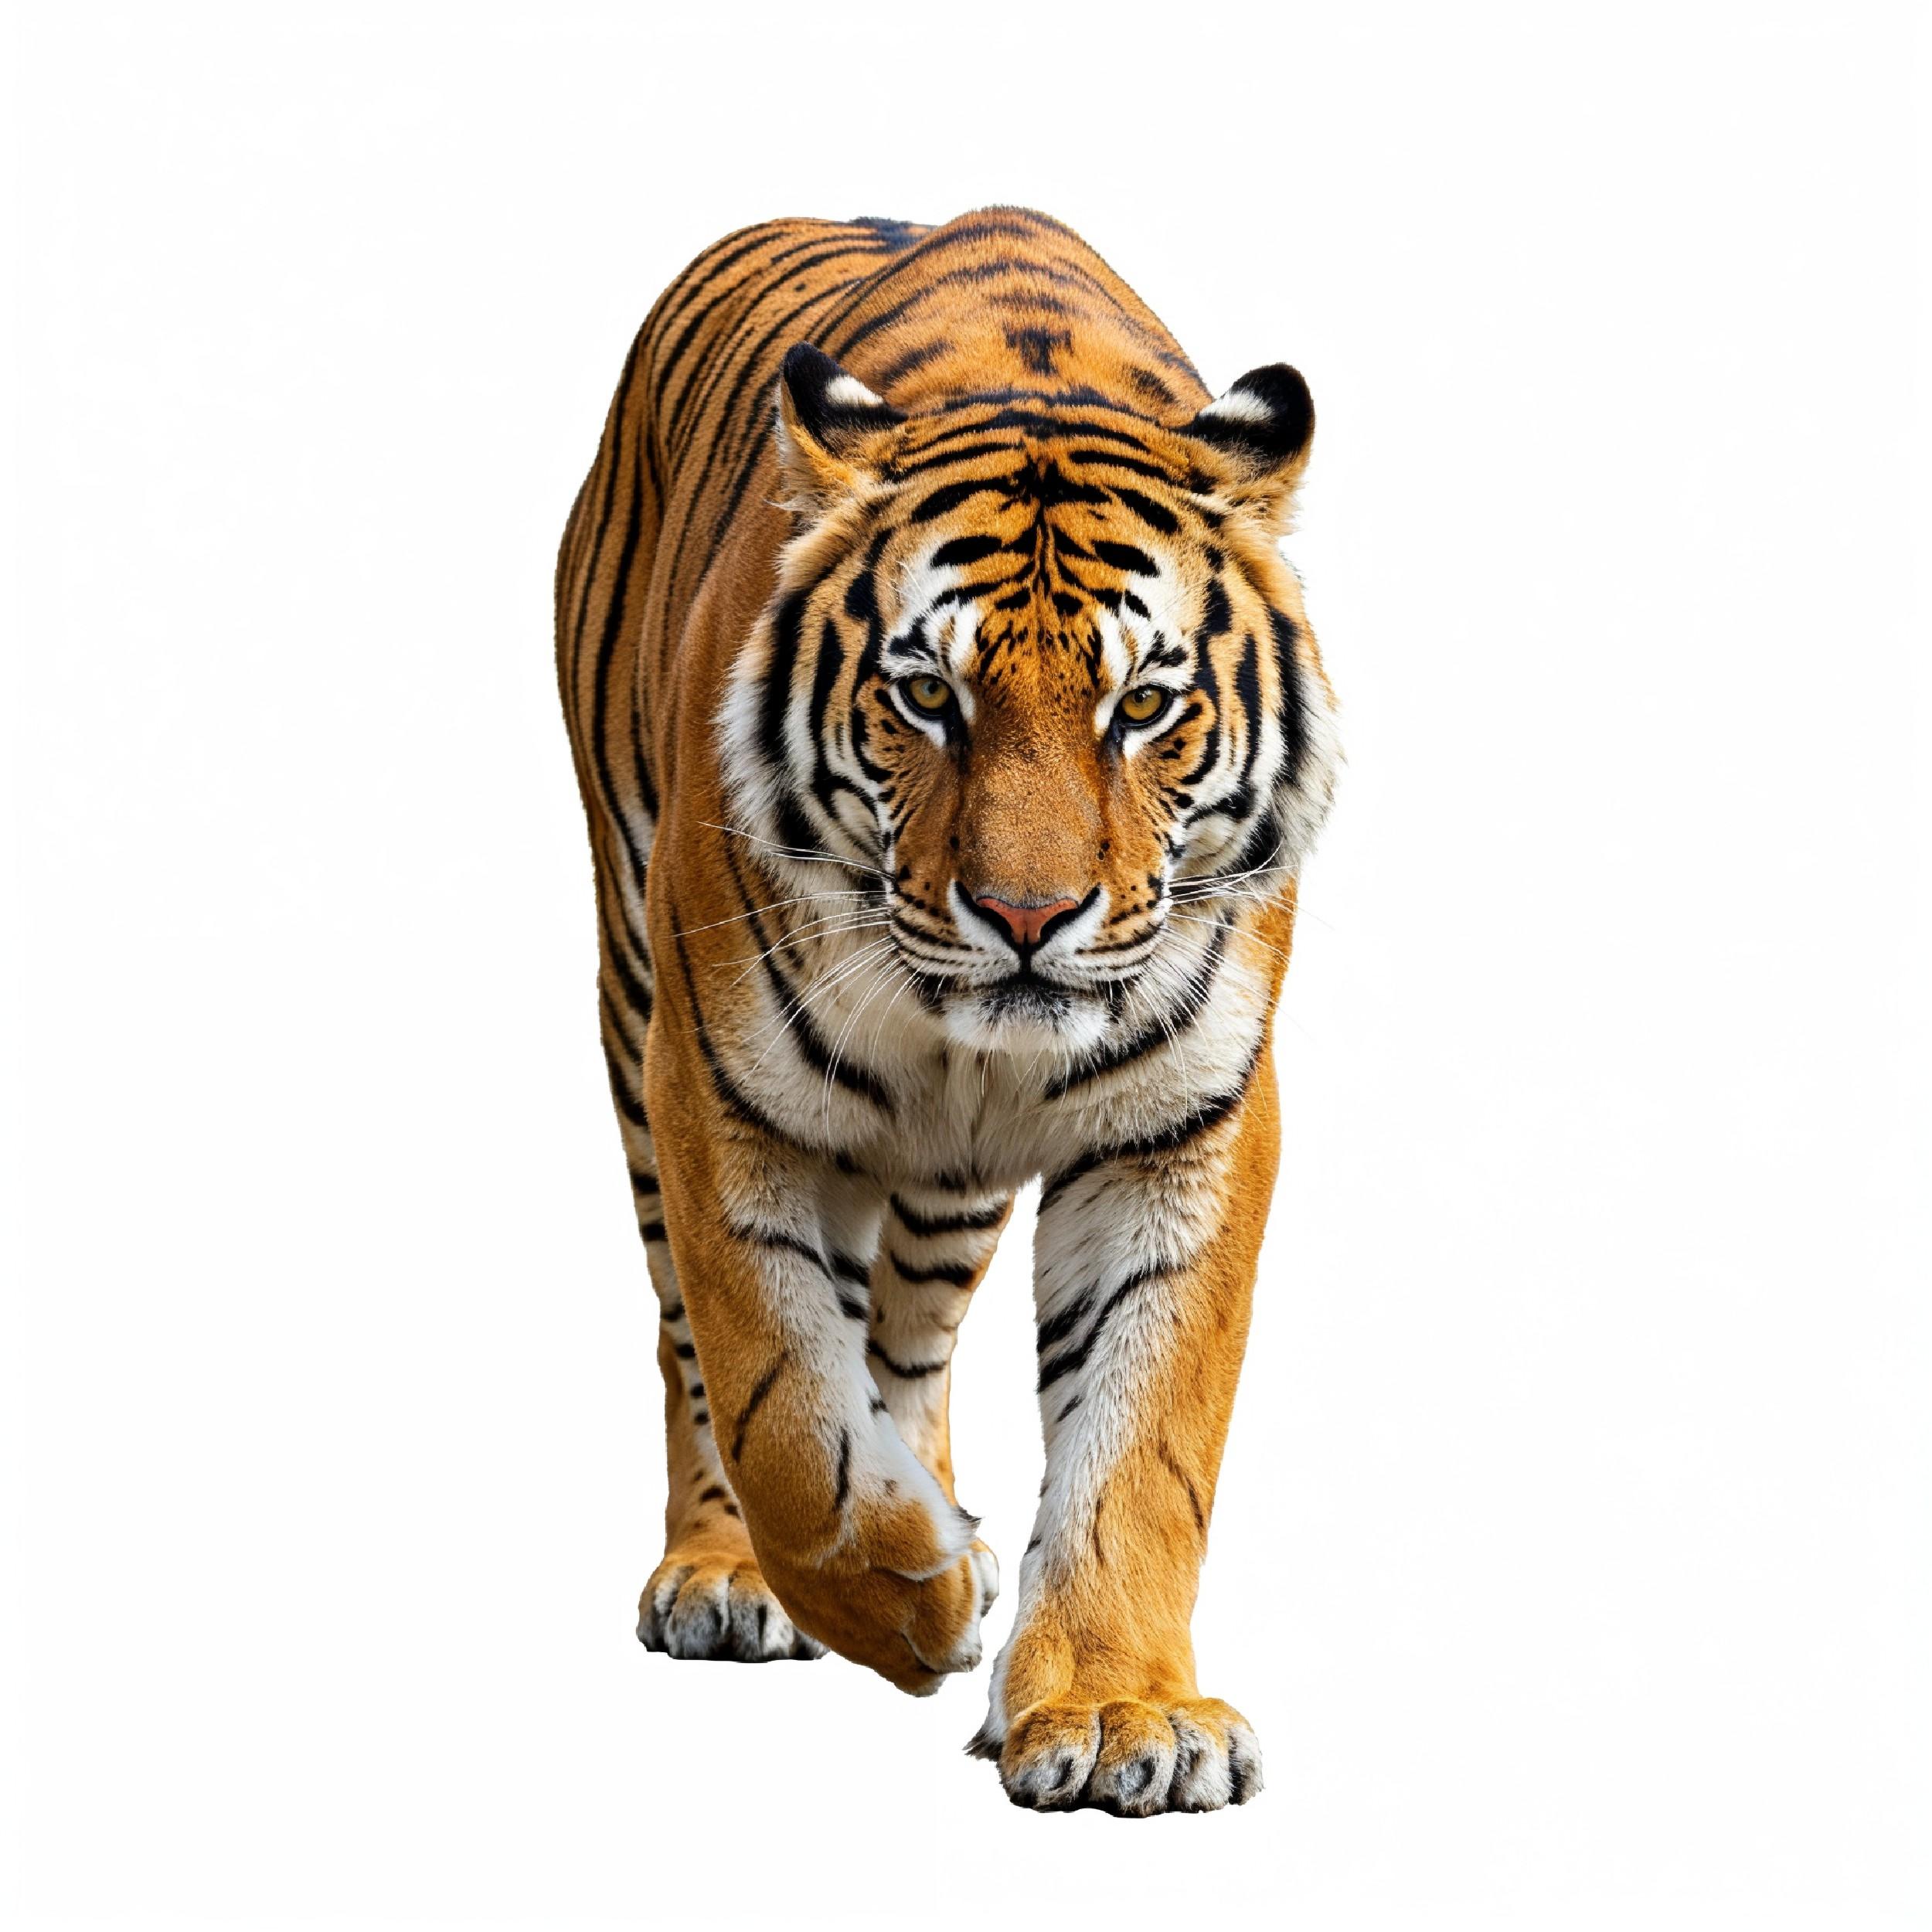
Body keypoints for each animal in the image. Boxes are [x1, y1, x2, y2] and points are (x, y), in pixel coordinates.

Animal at [554, 207, 1340, 1815]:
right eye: (927, 696)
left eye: (1143, 707)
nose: (1028, 918)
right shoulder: (716, 1086)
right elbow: (777, 1398)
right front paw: (905, 1593)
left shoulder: (1188, 1125)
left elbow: (1144, 1439)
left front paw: (1116, 1711)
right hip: (627, 986)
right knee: (694, 1343)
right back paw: (741, 1571)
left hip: (944, 1181)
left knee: (908, 1340)